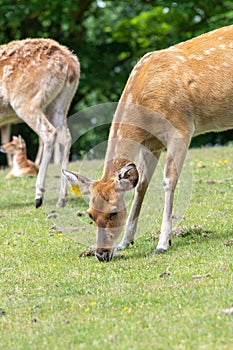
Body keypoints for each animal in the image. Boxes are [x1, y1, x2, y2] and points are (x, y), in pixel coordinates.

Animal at [0, 38, 79, 208]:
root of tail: (71, 64)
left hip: (26, 101)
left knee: (49, 133)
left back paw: (39, 196)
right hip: (59, 105)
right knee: (65, 137)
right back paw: (61, 199)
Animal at [62, 24, 233, 262]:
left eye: (113, 212)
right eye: (90, 214)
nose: (101, 254)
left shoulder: (181, 128)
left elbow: (169, 181)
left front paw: (163, 243)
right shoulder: (152, 142)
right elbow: (141, 184)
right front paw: (126, 242)